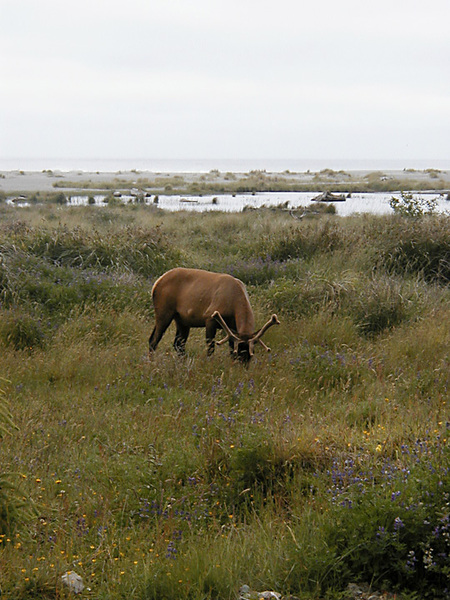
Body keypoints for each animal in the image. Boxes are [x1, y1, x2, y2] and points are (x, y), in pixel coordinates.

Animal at [149, 268, 280, 360]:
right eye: (239, 352)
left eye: (251, 354)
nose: (243, 366)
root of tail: (156, 284)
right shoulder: (210, 318)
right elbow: (210, 347)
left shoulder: (232, 327)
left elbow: (230, 346)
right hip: (164, 312)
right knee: (153, 340)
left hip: (182, 320)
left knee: (178, 344)